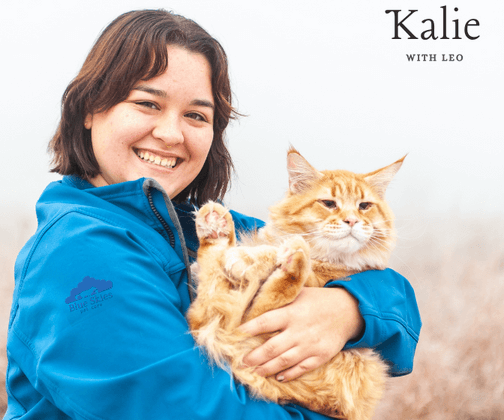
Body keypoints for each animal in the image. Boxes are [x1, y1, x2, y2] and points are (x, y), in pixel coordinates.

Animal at [187, 148, 404, 420]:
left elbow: (268, 255)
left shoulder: (317, 280)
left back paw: (291, 257)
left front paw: (247, 257)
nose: (352, 221)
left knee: (244, 311)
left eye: (364, 206)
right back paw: (217, 227)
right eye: (329, 204)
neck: (326, 258)